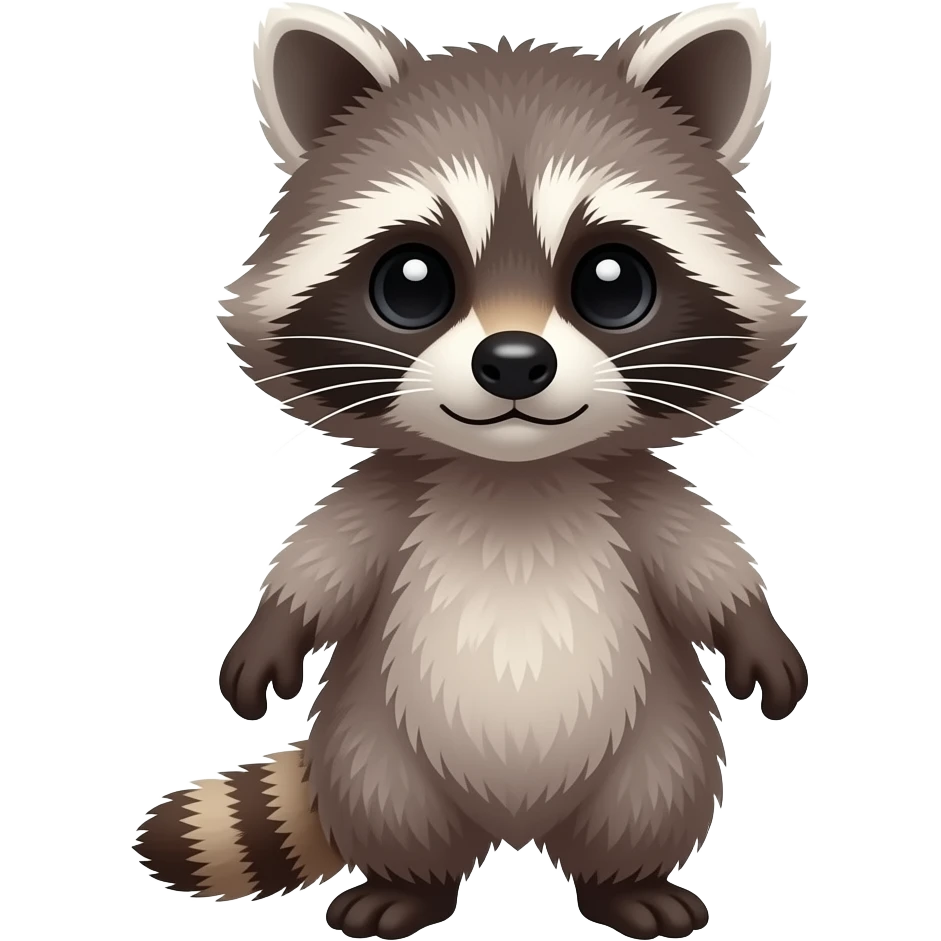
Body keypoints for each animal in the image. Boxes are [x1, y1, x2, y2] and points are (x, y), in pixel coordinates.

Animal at [132, 3, 809, 938]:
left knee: (651, 796)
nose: (515, 362)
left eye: (612, 281)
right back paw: (408, 883)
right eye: (412, 282)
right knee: (390, 802)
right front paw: (272, 627)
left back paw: (625, 881)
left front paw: (755, 630)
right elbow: (322, 561)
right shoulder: (391, 490)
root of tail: (514, 830)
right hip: (372, 745)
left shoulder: (634, 490)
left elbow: (704, 561)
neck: (514, 478)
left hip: (656, 741)